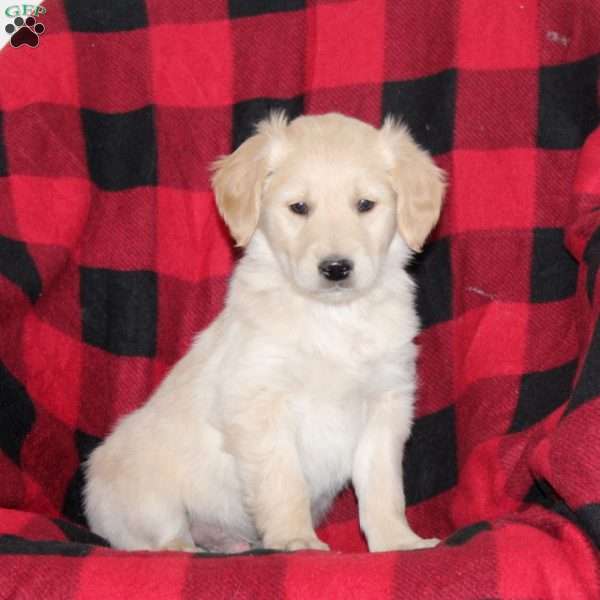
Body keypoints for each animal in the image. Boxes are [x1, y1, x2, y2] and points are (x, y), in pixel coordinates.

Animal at [86, 111, 448, 552]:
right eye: (298, 207)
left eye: (365, 205)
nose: (336, 268)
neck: (333, 317)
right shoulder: (260, 404)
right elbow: (283, 482)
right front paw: (296, 540)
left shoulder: (386, 403)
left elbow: (382, 487)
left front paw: (398, 542)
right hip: (143, 491)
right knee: (155, 537)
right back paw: (183, 547)